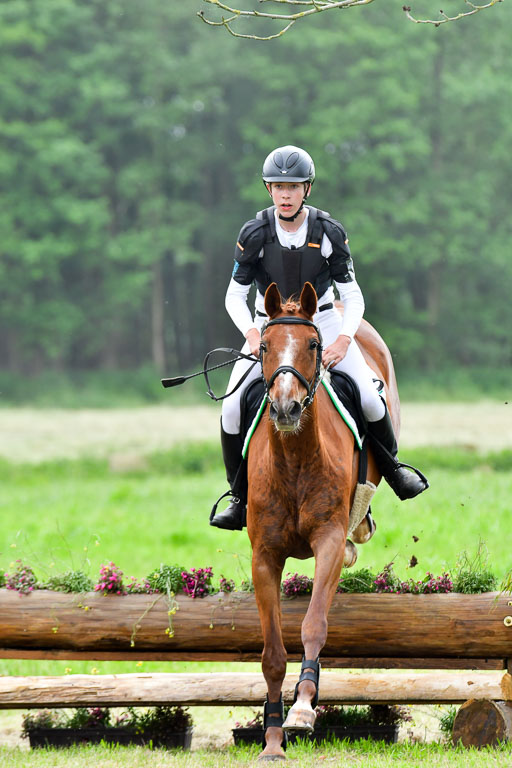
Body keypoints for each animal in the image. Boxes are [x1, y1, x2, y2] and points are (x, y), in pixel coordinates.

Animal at [247, 280, 400, 761]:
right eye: (264, 346)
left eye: (313, 345)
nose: (286, 409)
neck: (294, 456)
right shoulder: (265, 556)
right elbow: (272, 654)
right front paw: (272, 740)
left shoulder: (327, 541)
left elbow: (313, 624)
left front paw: (302, 709)